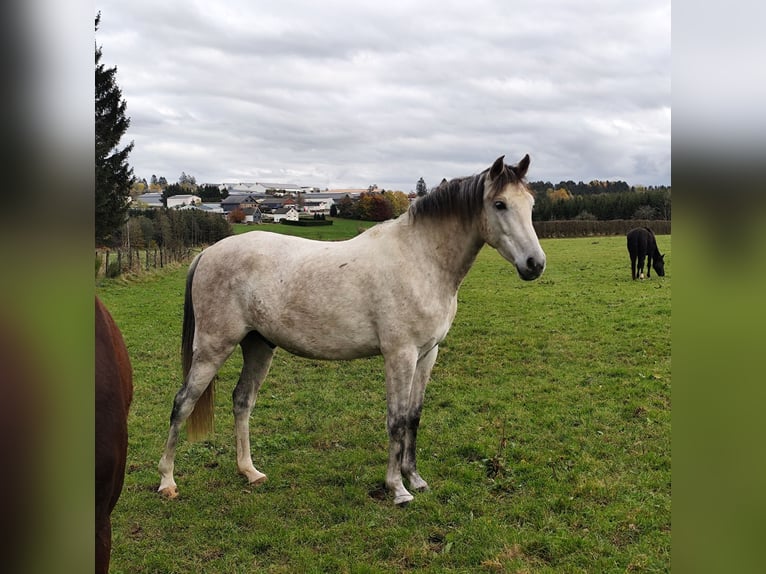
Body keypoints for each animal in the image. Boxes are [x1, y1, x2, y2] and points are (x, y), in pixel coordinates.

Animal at [160, 155, 544, 506]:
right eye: (499, 204)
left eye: (530, 205)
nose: (535, 265)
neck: (420, 259)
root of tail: (207, 253)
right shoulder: (399, 355)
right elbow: (396, 420)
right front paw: (397, 489)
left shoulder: (427, 354)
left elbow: (414, 418)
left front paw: (415, 479)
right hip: (213, 347)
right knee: (183, 403)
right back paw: (167, 482)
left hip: (258, 345)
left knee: (242, 401)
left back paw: (249, 472)